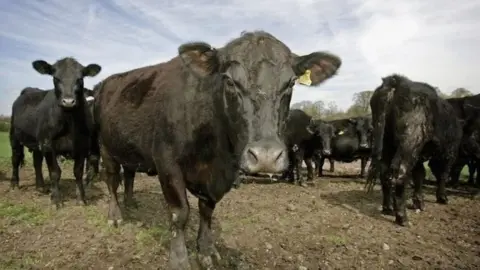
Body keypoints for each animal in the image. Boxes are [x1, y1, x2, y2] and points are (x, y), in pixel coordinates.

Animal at [9, 58, 101, 208]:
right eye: (56, 78)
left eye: (80, 79)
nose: (68, 101)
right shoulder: (48, 145)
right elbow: (55, 172)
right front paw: (56, 200)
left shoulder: (82, 146)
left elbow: (78, 172)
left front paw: (81, 198)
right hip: (14, 137)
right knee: (15, 159)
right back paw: (14, 184)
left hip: (37, 143)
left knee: (37, 162)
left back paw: (40, 186)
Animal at [94, 30, 342, 268]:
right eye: (230, 81)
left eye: (290, 83)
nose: (266, 156)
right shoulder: (167, 163)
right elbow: (179, 213)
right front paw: (179, 260)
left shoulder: (219, 176)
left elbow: (207, 211)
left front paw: (206, 251)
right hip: (106, 149)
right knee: (112, 181)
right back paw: (115, 215)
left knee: (129, 176)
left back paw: (130, 202)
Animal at [368, 73, 464, 226]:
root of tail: (395, 82)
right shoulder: (449, 153)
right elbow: (443, 174)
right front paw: (442, 198)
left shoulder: (419, 157)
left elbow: (420, 174)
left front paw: (419, 203)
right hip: (410, 142)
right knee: (399, 175)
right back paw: (403, 218)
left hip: (386, 143)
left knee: (385, 175)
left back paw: (388, 209)